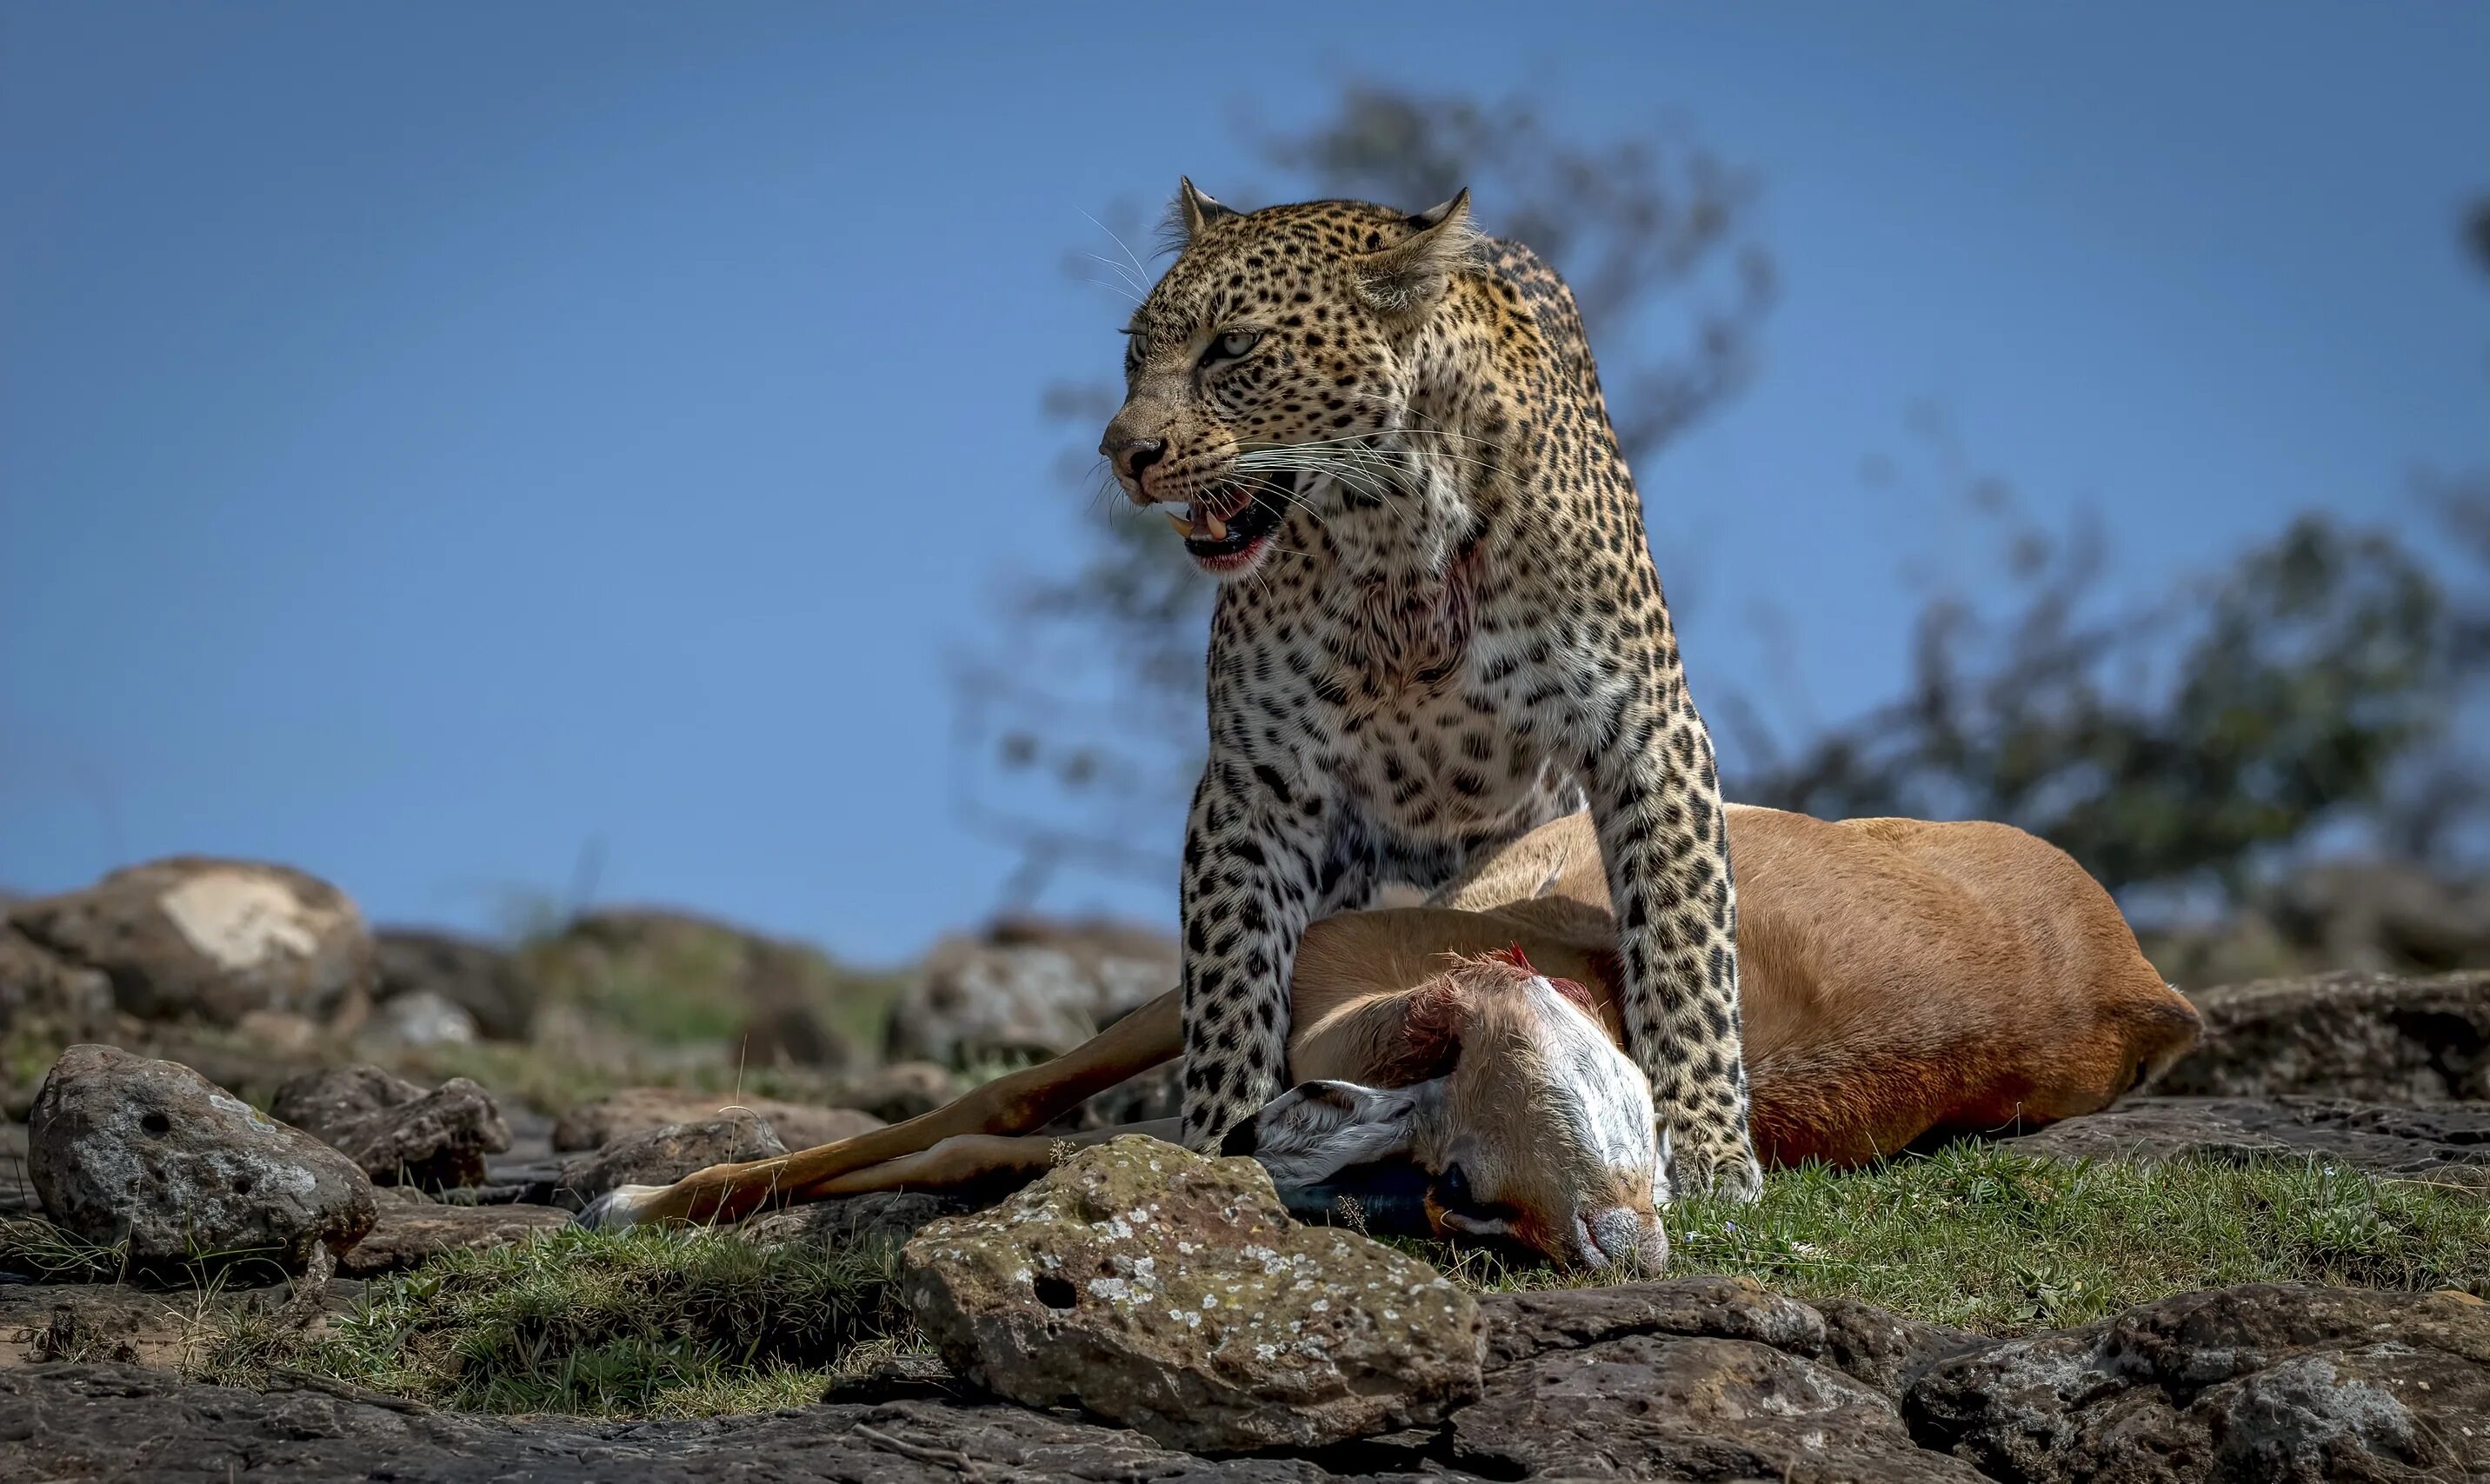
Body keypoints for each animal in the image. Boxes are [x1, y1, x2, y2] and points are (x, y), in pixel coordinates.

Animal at [583, 806, 2200, 1269]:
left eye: (1460, 1193)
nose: (1627, 1245)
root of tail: (2143, 976)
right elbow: (1000, 1098)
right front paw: (647, 1191)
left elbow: (998, 1139)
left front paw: (636, 1190)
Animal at [1100, 185, 1762, 1200]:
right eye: (1135, 352)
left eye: (1232, 347)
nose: (1121, 452)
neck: (1395, 525)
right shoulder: (1256, 778)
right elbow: (1230, 973)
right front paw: (1217, 1143)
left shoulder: (1650, 729)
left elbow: (1685, 940)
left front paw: (1707, 1142)